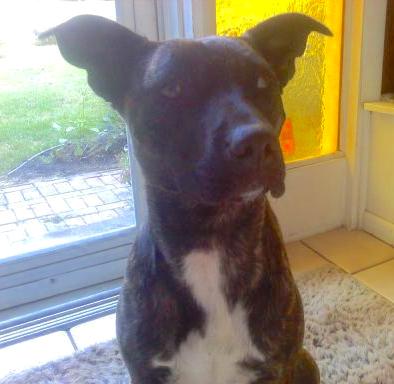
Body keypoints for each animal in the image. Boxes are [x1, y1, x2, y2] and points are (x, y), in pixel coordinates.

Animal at [44, 13, 330, 382]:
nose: (256, 141)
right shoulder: (145, 371)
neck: (212, 237)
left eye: (264, 85)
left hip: (305, 362)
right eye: (173, 89)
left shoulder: (276, 366)